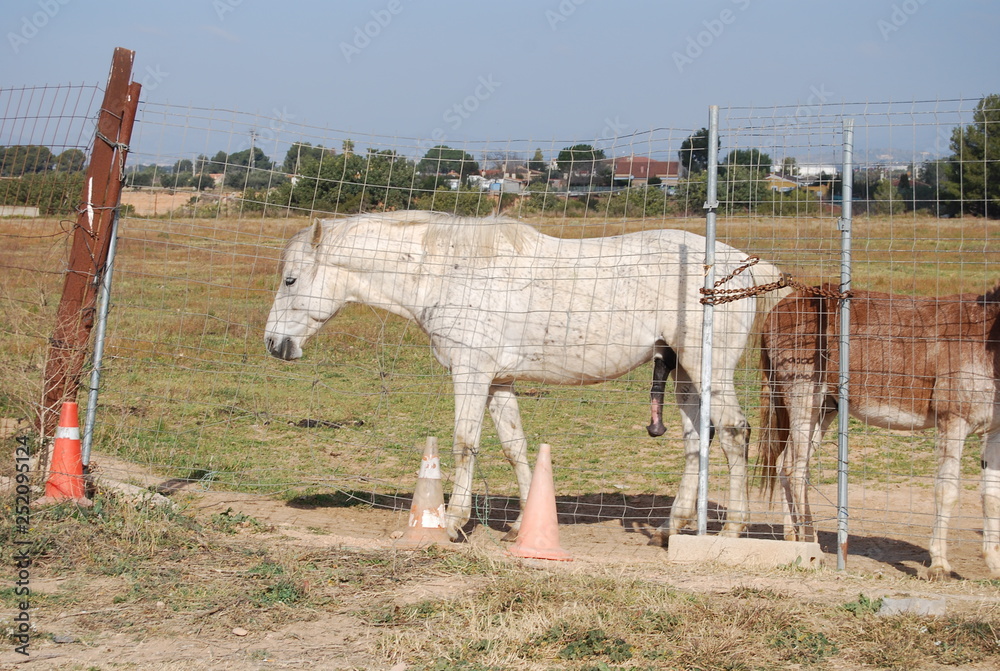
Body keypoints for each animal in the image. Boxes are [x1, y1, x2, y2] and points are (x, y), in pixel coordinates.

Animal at [264, 210, 787, 543]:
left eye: (291, 280)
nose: (273, 344)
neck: (448, 271)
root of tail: (741, 268)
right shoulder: (498, 382)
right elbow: (515, 445)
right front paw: (522, 525)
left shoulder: (471, 374)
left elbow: (465, 443)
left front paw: (453, 522)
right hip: (685, 376)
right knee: (697, 440)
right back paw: (671, 526)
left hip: (707, 371)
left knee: (734, 434)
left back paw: (734, 528)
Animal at [758, 284, 1000, 580]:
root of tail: (783, 304)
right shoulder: (953, 421)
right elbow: (947, 491)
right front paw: (939, 566)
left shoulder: (994, 431)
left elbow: (991, 497)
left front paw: (995, 564)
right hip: (803, 395)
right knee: (796, 470)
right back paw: (809, 539)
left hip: (825, 407)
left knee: (784, 464)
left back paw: (793, 538)